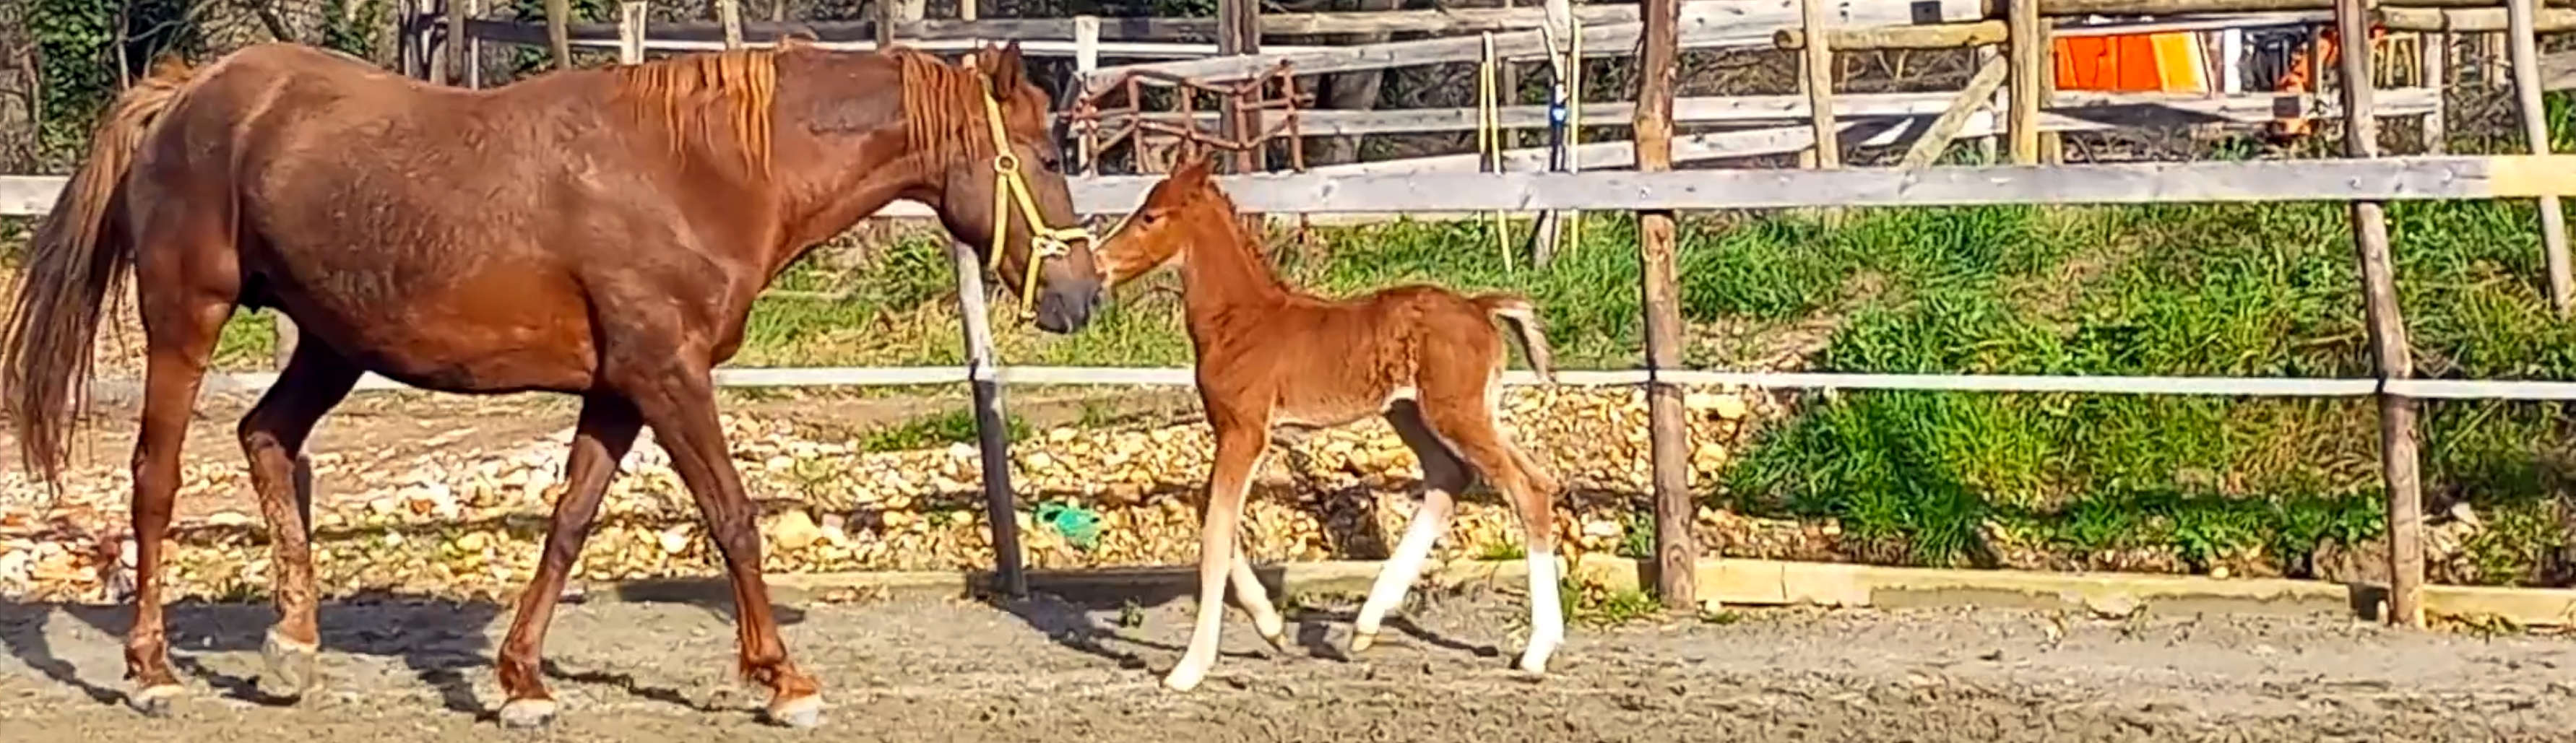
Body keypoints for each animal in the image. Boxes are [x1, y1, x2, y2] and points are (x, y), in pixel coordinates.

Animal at [2, 39, 1101, 728]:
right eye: (1047, 153)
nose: (1082, 292)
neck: (701, 172)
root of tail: (188, 93)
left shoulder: (620, 388)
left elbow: (569, 522)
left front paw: (522, 680)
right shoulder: (668, 375)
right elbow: (732, 516)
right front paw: (782, 679)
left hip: (332, 341)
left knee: (269, 440)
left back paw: (293, 645)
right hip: (186, 318)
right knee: (156, 482)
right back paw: (150, 670)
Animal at [1091, 155, 1566, 692]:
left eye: (1151, 216)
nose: (1101, 263)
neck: (1241, 321)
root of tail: (1480, 307)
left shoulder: (1245, 430)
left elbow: (1215, 530)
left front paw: (1188, 668)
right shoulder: (1231, 430)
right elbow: (1211, 512)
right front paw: (1271, 626)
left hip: (1455, 413)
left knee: (1527, 489)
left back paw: (1535, 652)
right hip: (1420, 413)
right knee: (1461, 478)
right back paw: (1365, 626)